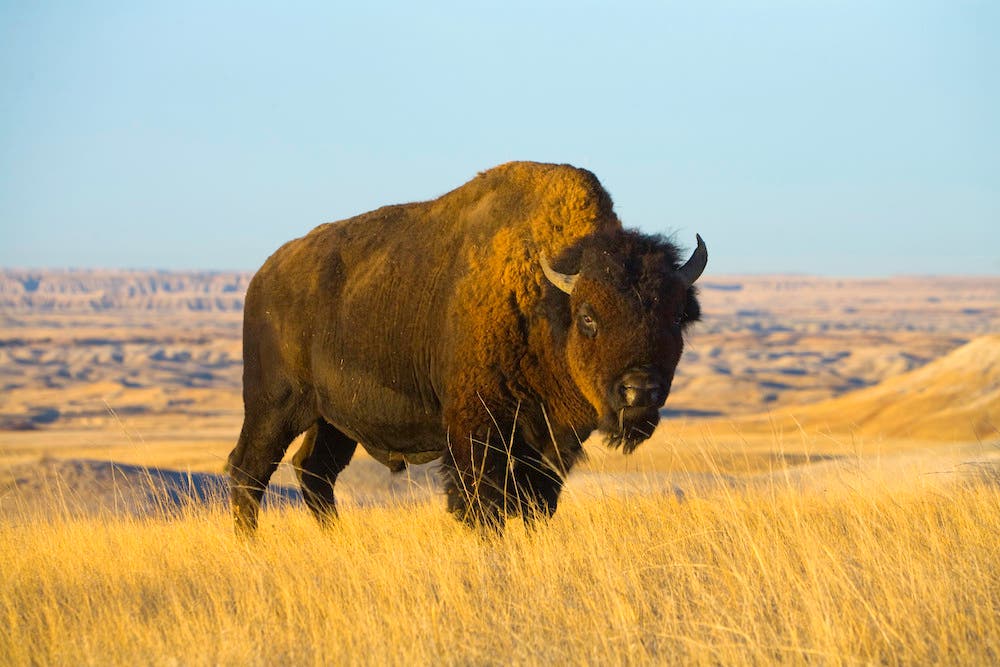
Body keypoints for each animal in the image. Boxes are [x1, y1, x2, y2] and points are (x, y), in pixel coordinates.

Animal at [226, 161, 706, 533]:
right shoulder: (477, 429)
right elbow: (481, 503)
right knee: (248, 470)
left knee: (314, 471)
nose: (639, 390)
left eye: (676, 316)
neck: (545, 301)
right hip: (275, 406)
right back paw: (251, 545)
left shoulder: (547, 445)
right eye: (589, 316)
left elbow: (536, 505)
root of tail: (263, 276)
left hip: (332, 421)